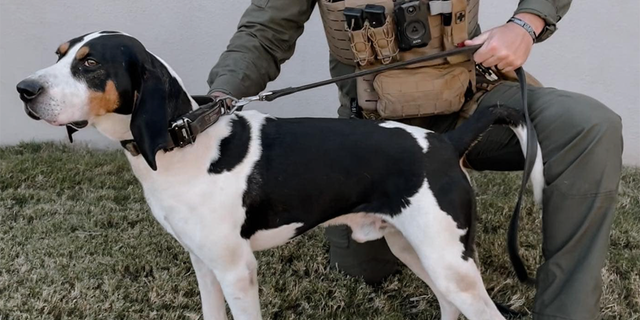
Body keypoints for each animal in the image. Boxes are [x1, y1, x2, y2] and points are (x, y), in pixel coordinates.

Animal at [15, 30, 544, 320]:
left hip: (448, 260)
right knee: (449, 305)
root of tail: (445, 142)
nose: (24, 89)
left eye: (89, 63)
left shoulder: (237, 270)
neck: (185, 142)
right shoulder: (204, 264)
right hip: (413, 248)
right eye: (60, 54)